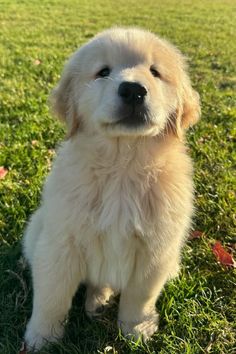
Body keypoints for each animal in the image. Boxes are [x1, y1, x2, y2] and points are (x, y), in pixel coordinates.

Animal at [23, 27, 201, 348]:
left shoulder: (156, 250)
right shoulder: (59, 245)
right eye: (103, 72)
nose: (133, 90)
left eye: (155, 72)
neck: (122, 166)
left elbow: (140, 296)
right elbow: (52, 296)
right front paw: (41, 337)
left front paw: (136, 329)